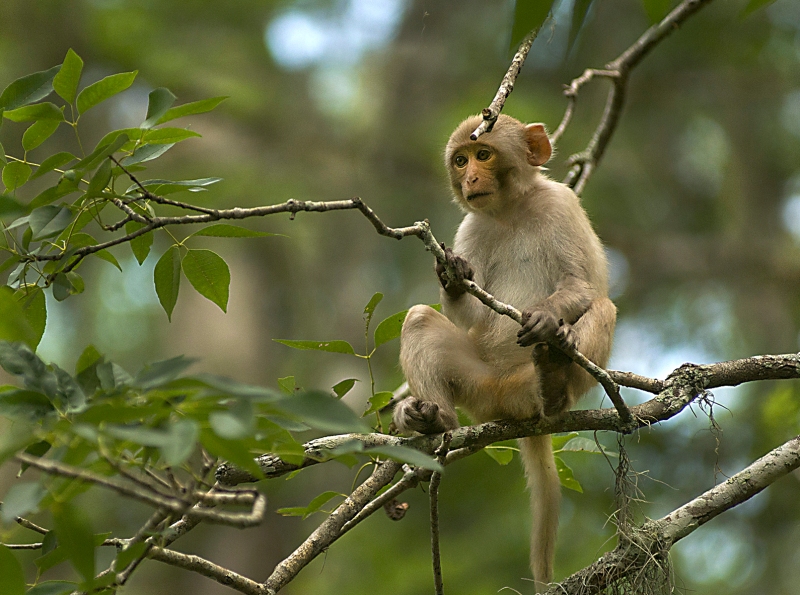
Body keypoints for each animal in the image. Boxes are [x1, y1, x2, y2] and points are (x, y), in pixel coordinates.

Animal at [396, 113, 616, 592]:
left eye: (484, 153)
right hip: (480, 386)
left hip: (529, 384)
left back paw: (553, 384)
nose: (470, 178)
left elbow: (580, 286)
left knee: (603, 307)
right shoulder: (470, 227)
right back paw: (433, 419)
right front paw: (452, 276)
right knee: (420, 319)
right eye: (460, 160)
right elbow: (469, 315)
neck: (511, 209)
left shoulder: (561, 204)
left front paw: (547, 320)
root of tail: (508, 399)